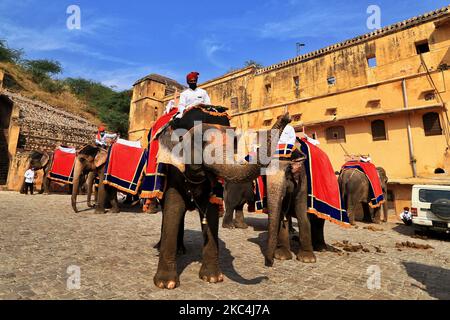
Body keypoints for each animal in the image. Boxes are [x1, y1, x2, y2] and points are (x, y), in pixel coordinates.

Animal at [151, 106, 292, 288]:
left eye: (234, 144)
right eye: (201, 142)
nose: (286, 116)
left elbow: (211, 211)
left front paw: (212, 278)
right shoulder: (174, 169)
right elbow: (174, 206)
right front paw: (165, 283)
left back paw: (181, 249)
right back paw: (167, 248)